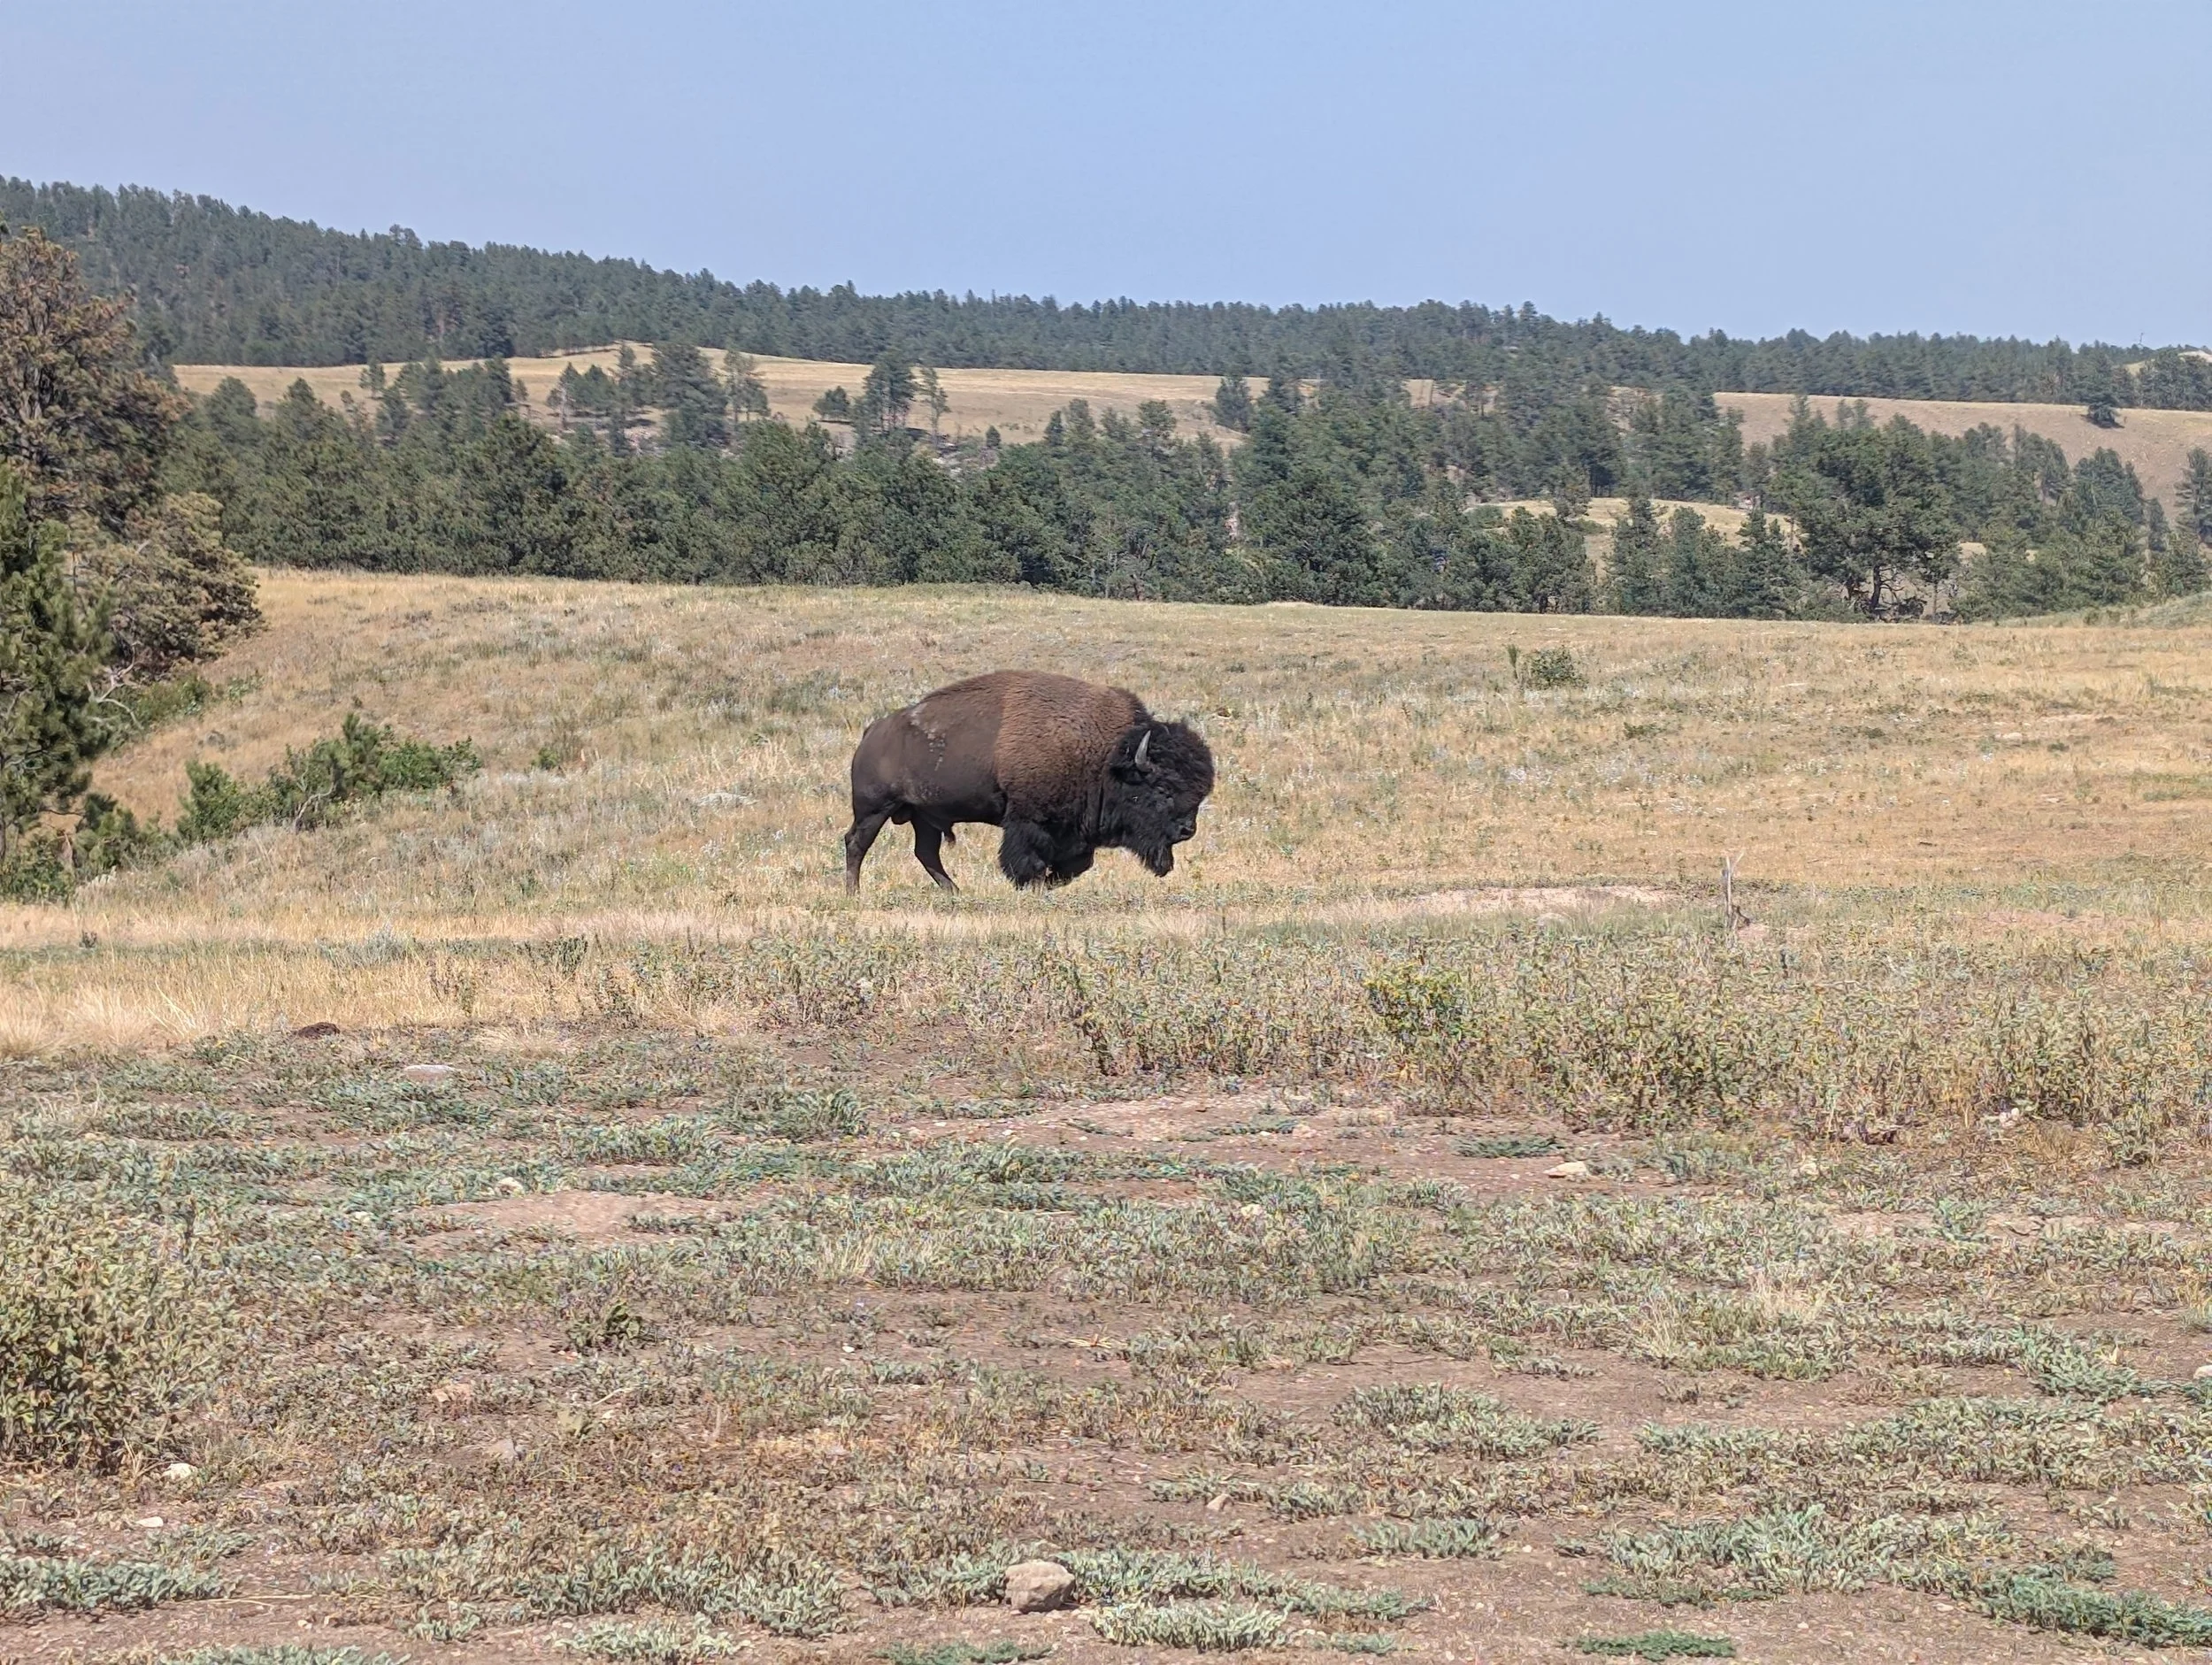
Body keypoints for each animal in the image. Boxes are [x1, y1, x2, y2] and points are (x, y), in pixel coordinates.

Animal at [843, 670, 1215, 891]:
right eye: (1163, 789)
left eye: (1199, 794)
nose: (1188, 830)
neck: (1105, 757)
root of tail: (872, 731)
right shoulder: (1029, 821)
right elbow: (1029, 860)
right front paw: (1033, 885)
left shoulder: (1074, 833)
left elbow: (1077, 866)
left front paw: (1049, 884)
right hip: (874, 808)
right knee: (856, 843)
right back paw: (854, 893)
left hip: (924, 816)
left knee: (926, 852)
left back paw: (955, 893)